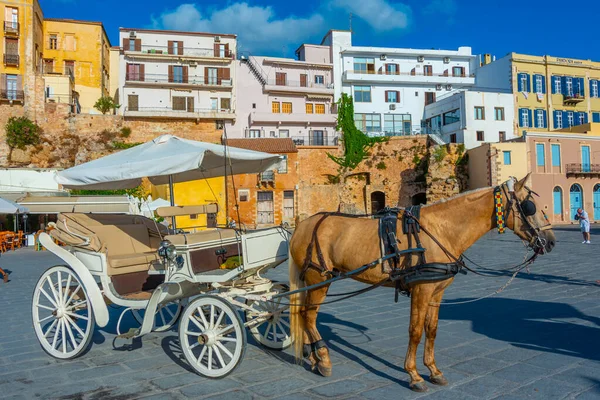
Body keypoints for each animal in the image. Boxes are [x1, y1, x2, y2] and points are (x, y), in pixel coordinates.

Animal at [288, 174, 556, 390]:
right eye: (529, 207)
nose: (551, 241)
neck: (440, 230)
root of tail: (302, 225)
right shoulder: (422, 289)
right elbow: (415, 331)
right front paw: (414, 375)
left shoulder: (437, 291)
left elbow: (432, 330)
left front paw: (434, 370)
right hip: (319, 278)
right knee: (309, 315)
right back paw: (323, 358)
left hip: (315, 281)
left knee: (303, 314)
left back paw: (313, 357)